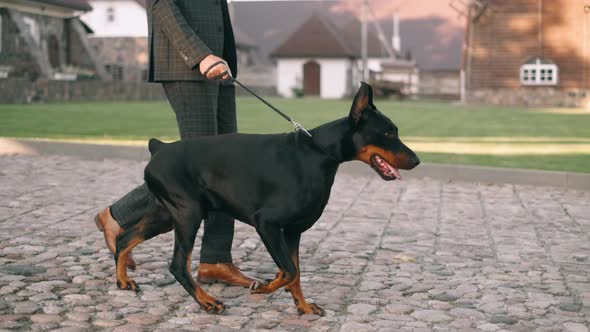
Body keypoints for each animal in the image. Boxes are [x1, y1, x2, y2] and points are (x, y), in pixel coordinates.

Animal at [113, 83, 420, 316]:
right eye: (388, 131)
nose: (417, 160)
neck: (317, 153)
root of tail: (158, 148)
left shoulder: (293, 231)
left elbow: (295, 272)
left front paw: (303, 307)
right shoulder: (267, 223)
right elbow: (288, 271)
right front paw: (263, 287)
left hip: (167, 215)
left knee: (124, 238)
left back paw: (124, 281)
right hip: (188, 214)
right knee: (178, 264)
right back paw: (207, 301)